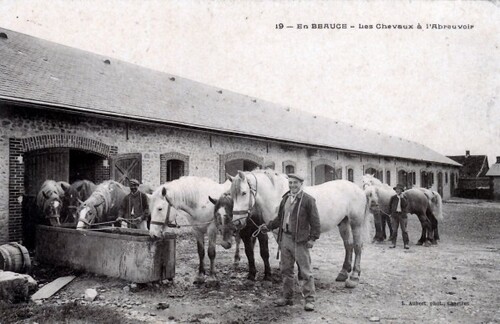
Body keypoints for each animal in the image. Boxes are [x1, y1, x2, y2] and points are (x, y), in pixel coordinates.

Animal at [229, 170, 372, 288]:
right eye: (231, 194)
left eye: (244, 193)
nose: (236, 222)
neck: (278, 195)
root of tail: (359, 190)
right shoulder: (278, 232)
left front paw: (300, 277)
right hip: (343, 223)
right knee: (348, 245)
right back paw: (343, 273)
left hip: (356, 223)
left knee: (357, 246)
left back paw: (353, 277)